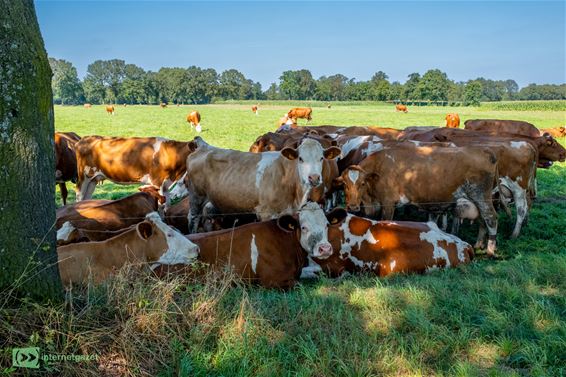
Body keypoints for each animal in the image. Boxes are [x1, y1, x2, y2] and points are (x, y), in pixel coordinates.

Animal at [186, 137, 342, 232]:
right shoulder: (266, 212)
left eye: (321, 158)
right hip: (196, 197)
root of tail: (203, 147)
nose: (314, 178)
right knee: (193, 218)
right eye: (301, 159)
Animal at [338, 144, 502, 256]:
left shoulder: (388, 203)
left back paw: (490, 249)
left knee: (491, 218)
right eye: (345, 184)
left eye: (362, 183)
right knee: (482, 219)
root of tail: (483, 150)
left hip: (481, 196)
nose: (352, 207)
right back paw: (479, 244)